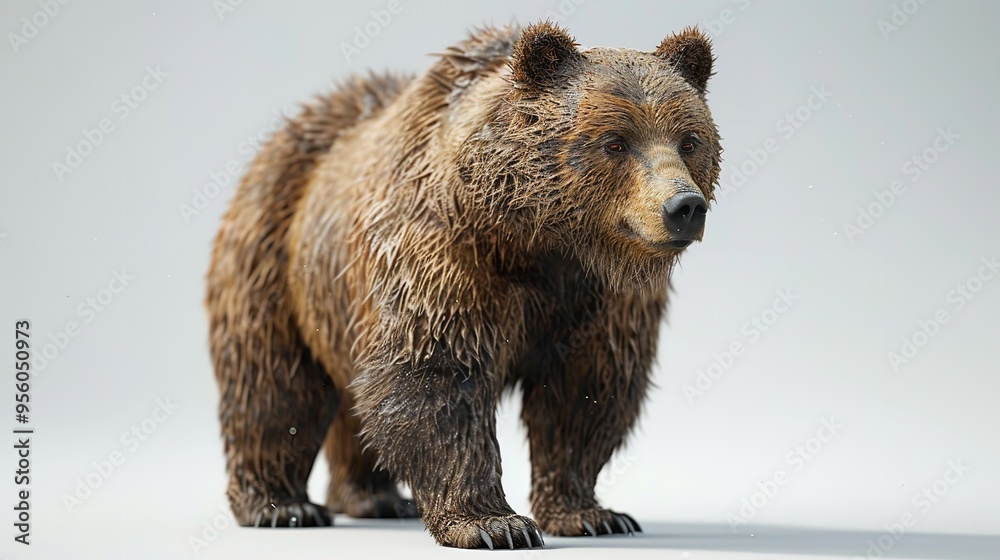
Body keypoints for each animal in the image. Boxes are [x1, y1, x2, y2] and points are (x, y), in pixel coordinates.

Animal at [206, 21, 720, 549]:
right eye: (615, 141)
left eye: (689, 139)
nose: (684, 207)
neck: (533, 239)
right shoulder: (443, 255)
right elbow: (439, 376)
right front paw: (495, 523)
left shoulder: (600, 295)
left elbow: (586, 391)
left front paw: (591, 513)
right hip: (275, 256)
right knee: (273, 384)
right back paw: (281, 505)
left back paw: (374, 498)